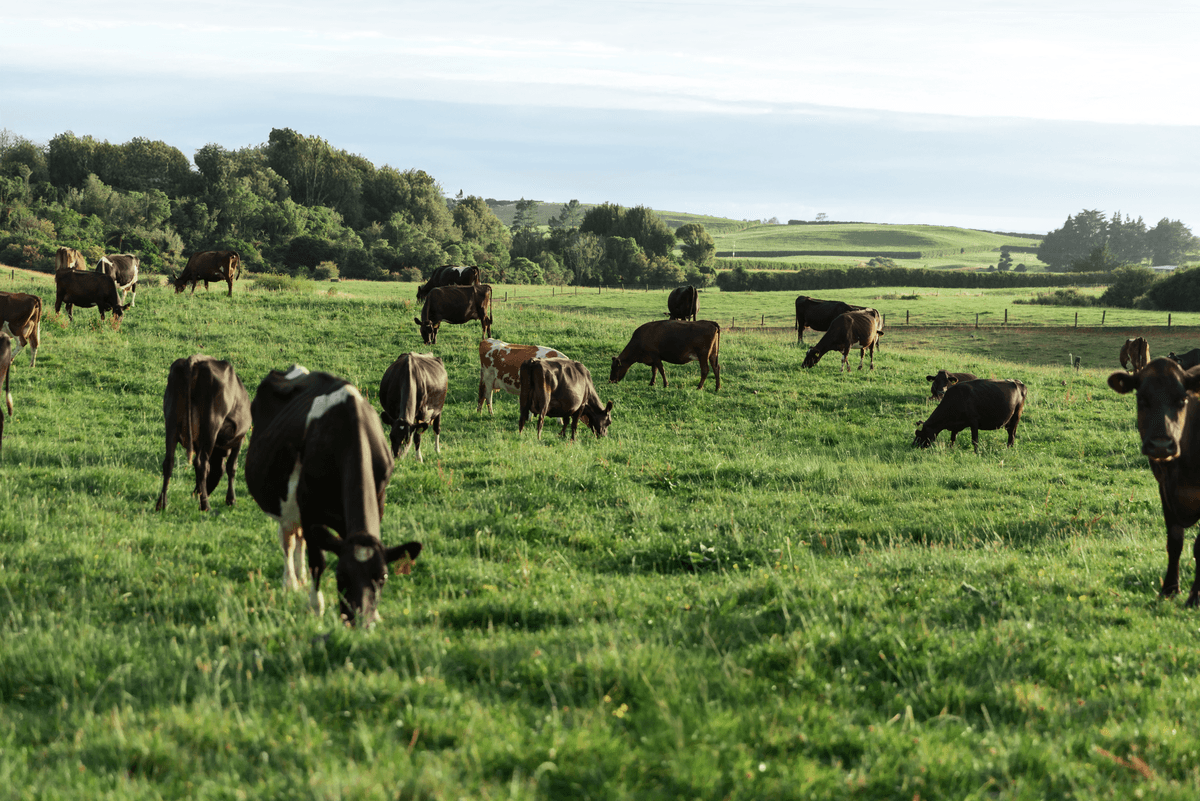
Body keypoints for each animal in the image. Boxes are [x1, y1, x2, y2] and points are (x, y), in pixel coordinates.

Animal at [155, 355, 251, 512]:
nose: (194, 494)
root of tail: (195, 360)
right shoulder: (239, 438)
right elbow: (232, 467)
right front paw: (231, 500)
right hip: (211, 424)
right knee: (201, 463)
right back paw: (206, 506)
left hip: (171, 420)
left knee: (169, 462)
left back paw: (161, 504)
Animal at [245, 365, 421, 626]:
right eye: (341, 576)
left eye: (383, 577)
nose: (360, 621)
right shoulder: (309, 508)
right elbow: (318, 561)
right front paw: (316, 607)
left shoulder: (378, 499)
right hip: (285, 504)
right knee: (288, 541)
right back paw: (291, 582)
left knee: (299, 540)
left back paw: (301, 577)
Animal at [1109, 358, 1200, 606]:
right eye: (1142, 399)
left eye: (1182, 400)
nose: (1161, 445)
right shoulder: (1165, 489)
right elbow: (1175, 541)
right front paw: (1169, 588)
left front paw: (1194, 598)